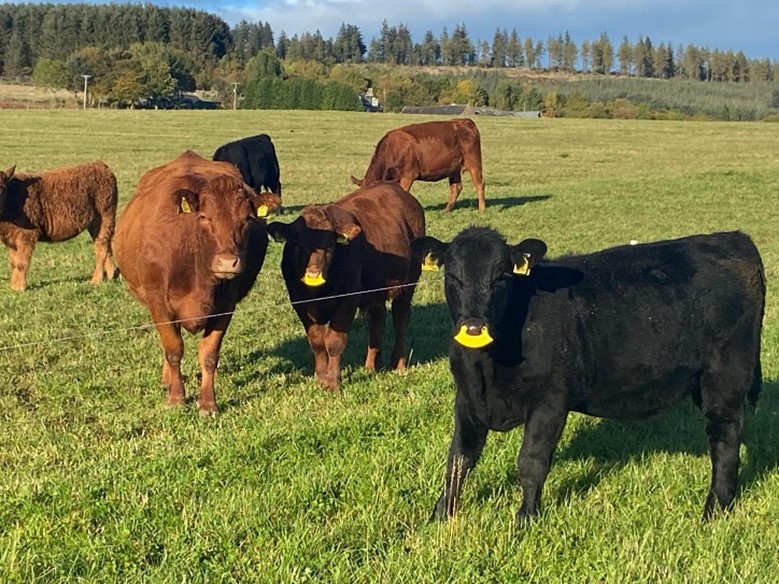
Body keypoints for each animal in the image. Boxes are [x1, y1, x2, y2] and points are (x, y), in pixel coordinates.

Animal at [0, 161, 119, 290]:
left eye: (2, 187)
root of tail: (101, 165)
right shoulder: (10, 239)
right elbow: (14, 263)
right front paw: (13, 286)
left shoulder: (27, 235)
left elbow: (21, 262)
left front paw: (19, 288)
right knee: (107, 246)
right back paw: (112, 274)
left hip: (105, 218)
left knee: (101, 248)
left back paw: (96, 280)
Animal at [111, 152, 278, 416]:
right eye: (204, 218)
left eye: (247, 219)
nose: (227, 262)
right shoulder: (158, 303)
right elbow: (173, 349)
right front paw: (176, 397)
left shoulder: (225, 306)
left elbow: (209, 354)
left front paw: (208, 402)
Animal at [268, 185, 426, 390]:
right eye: (296, 244)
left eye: (330, 244)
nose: (313, 273)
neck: (319, 292)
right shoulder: (299, 301)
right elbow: (316, 341)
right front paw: (320, 377)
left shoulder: (348, 300)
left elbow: (334, 341)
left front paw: (332, 382)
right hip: (374, 291)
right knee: (376, 322)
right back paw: (371, 366)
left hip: (408, 282)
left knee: (400, 320)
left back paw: (398, 364)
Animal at [354, 118, 488, 212]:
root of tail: (464, 121)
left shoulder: (408, 175)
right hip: (454, 168)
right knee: (456, 187)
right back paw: (446, 210)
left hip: (474, 161)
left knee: (479, 184)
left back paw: (481, 209)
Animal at [414, 228, 768, 524]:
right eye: (452, 276)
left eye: (501, 276)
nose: (474, 326)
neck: (488, 369)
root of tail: (735, 239)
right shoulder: (468, 399)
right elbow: (458, 460)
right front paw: (439, 515)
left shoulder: (549, 401)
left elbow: (531, 461)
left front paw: (526, 518)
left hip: (726, 376)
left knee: (725, 438)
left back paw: (714, 510)